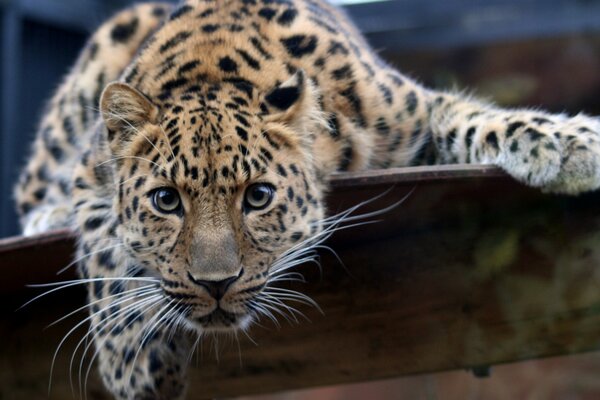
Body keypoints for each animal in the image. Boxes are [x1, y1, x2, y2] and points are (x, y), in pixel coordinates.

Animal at [11, 1, 600, 398]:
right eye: (165, 201)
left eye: (258, 196)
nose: (215, 284)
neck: (212, 68)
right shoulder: (90, 175)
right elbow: (106, 253)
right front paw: (134, 364)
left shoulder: (414, 113)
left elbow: (477, 118)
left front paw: (572, 144)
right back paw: (47, 212)